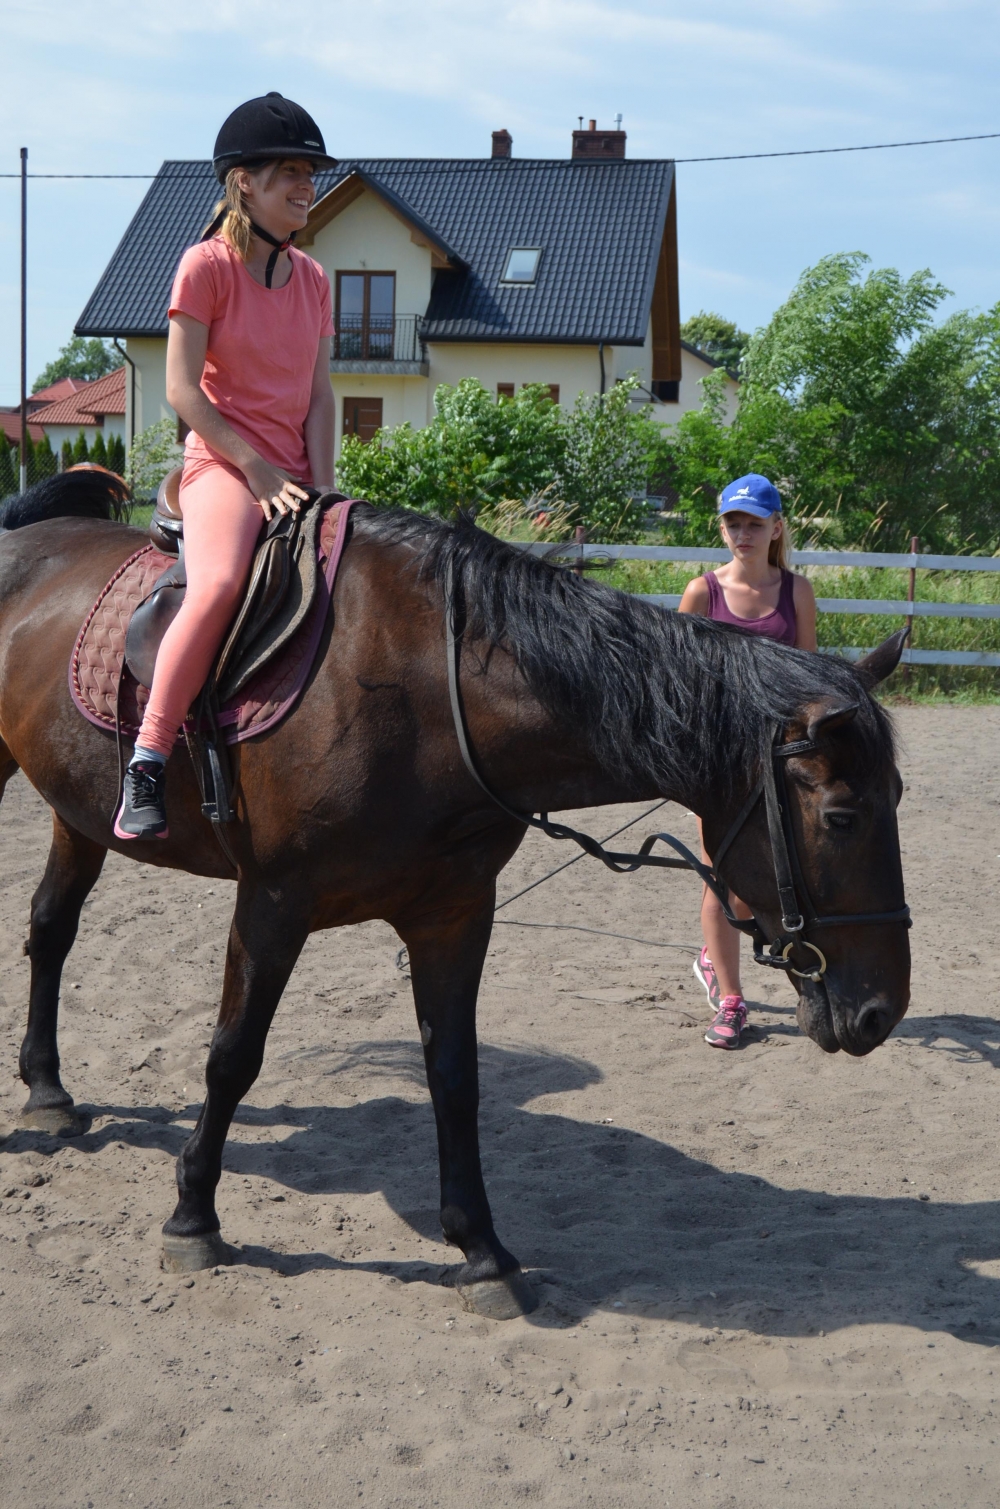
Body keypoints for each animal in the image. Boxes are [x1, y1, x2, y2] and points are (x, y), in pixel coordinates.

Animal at [0, 473, 910, 1318]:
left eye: (897, 794)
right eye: (841, 814)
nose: (880, 1012)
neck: (426, 691)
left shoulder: (453, 916)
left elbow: (455, 1074)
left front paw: (483, 1250)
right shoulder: (272, 902)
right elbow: (232, 1055)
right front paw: (193, 1215)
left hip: (79, 814)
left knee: (52, 929)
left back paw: (47, 1091)